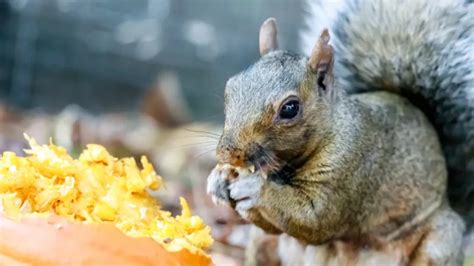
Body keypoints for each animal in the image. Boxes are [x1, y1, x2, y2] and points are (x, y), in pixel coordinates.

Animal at [207, 0, 474, 264]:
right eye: (230, 86)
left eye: (290, 108)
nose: (228, 153)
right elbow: (275, 225)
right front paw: (218, 178)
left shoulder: (351, 168)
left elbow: (315, 219)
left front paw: (254, 189)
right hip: (262, 243)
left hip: (437, 245)